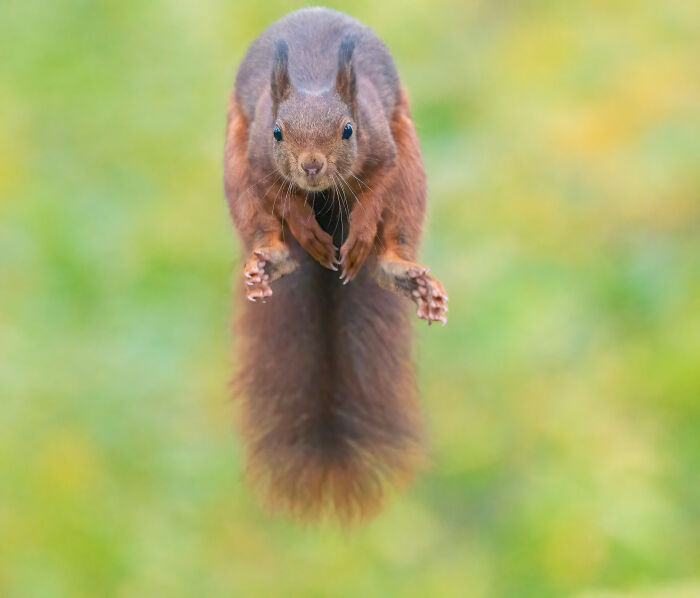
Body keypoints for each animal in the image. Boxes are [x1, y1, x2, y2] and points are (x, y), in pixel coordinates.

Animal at [224, 7, 448, 523]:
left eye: (348, 130)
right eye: (278, 132)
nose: (311, 167)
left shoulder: (382, 144)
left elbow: (380, 181)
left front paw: (362, 231)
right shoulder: (259, 158)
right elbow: (279, 196)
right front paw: (305, 229)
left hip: (410, 157)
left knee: (397, 216)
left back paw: (399, 269)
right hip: (235, 162)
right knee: (259, 217)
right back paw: (275, 257)